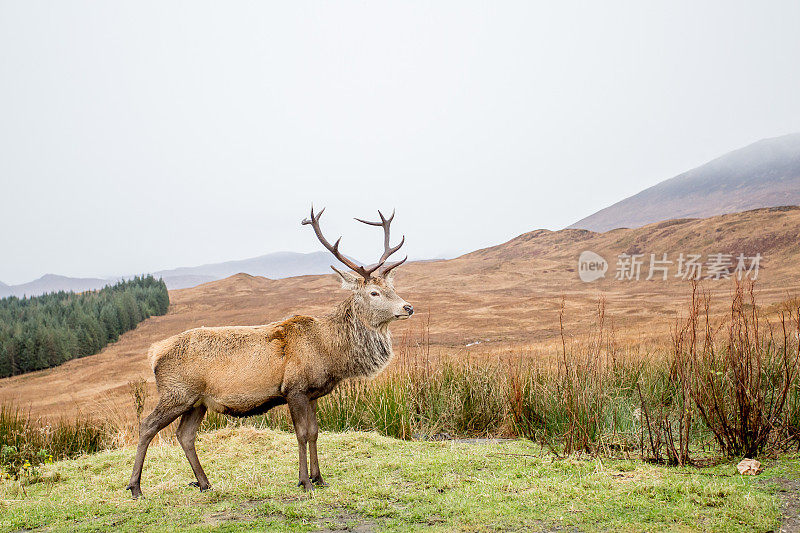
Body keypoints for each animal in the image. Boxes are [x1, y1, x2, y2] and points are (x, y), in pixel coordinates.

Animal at [126, 206, 412, 496]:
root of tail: (154, 352)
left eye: (392, 288)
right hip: (176, 392)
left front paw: (320, 478)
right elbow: (302, 434)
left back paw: (204, 483)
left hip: (198, 402)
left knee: (185, 435)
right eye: (374, 293)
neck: (329, 351)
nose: (408, 307)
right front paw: (304, 481)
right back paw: (136, 487)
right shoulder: (294, 389)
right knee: (147, 425)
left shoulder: (313, 393)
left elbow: (315, 432)